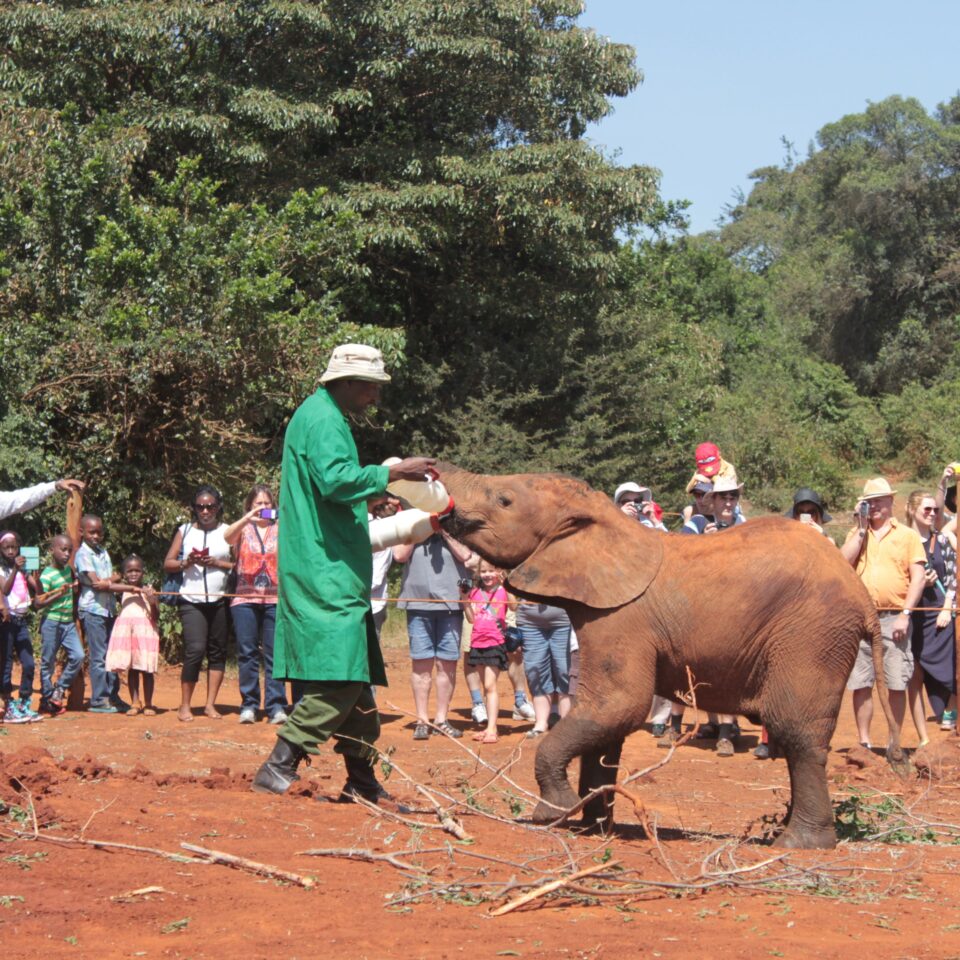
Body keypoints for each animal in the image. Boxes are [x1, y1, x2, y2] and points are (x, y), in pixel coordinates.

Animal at [436, 464, 900, 848]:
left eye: (503, 500)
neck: (609, 524)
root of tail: (863, 598)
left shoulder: (622, 618)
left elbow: (619, 706)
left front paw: (555, 813)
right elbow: (606, 723)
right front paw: (592, 828)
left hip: (812, 635)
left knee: (796, 732)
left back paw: (798, 844)